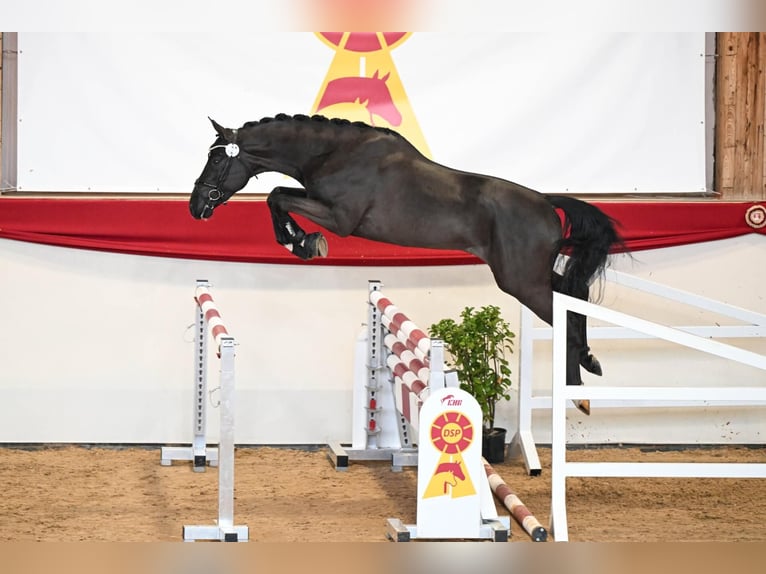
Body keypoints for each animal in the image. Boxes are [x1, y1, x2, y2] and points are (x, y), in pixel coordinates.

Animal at [190, 112, 624, 414]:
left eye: (217, 163)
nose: (195, 207)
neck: (334, 155)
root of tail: (546, 203)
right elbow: (279, 194)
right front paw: (301, 241)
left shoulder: (340, 218)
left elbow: (277, 197)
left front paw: (304, 242)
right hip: (529, 275)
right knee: (575, 294)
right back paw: (589, 364)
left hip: (521, 281)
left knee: (566, 312)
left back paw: (578, 391)